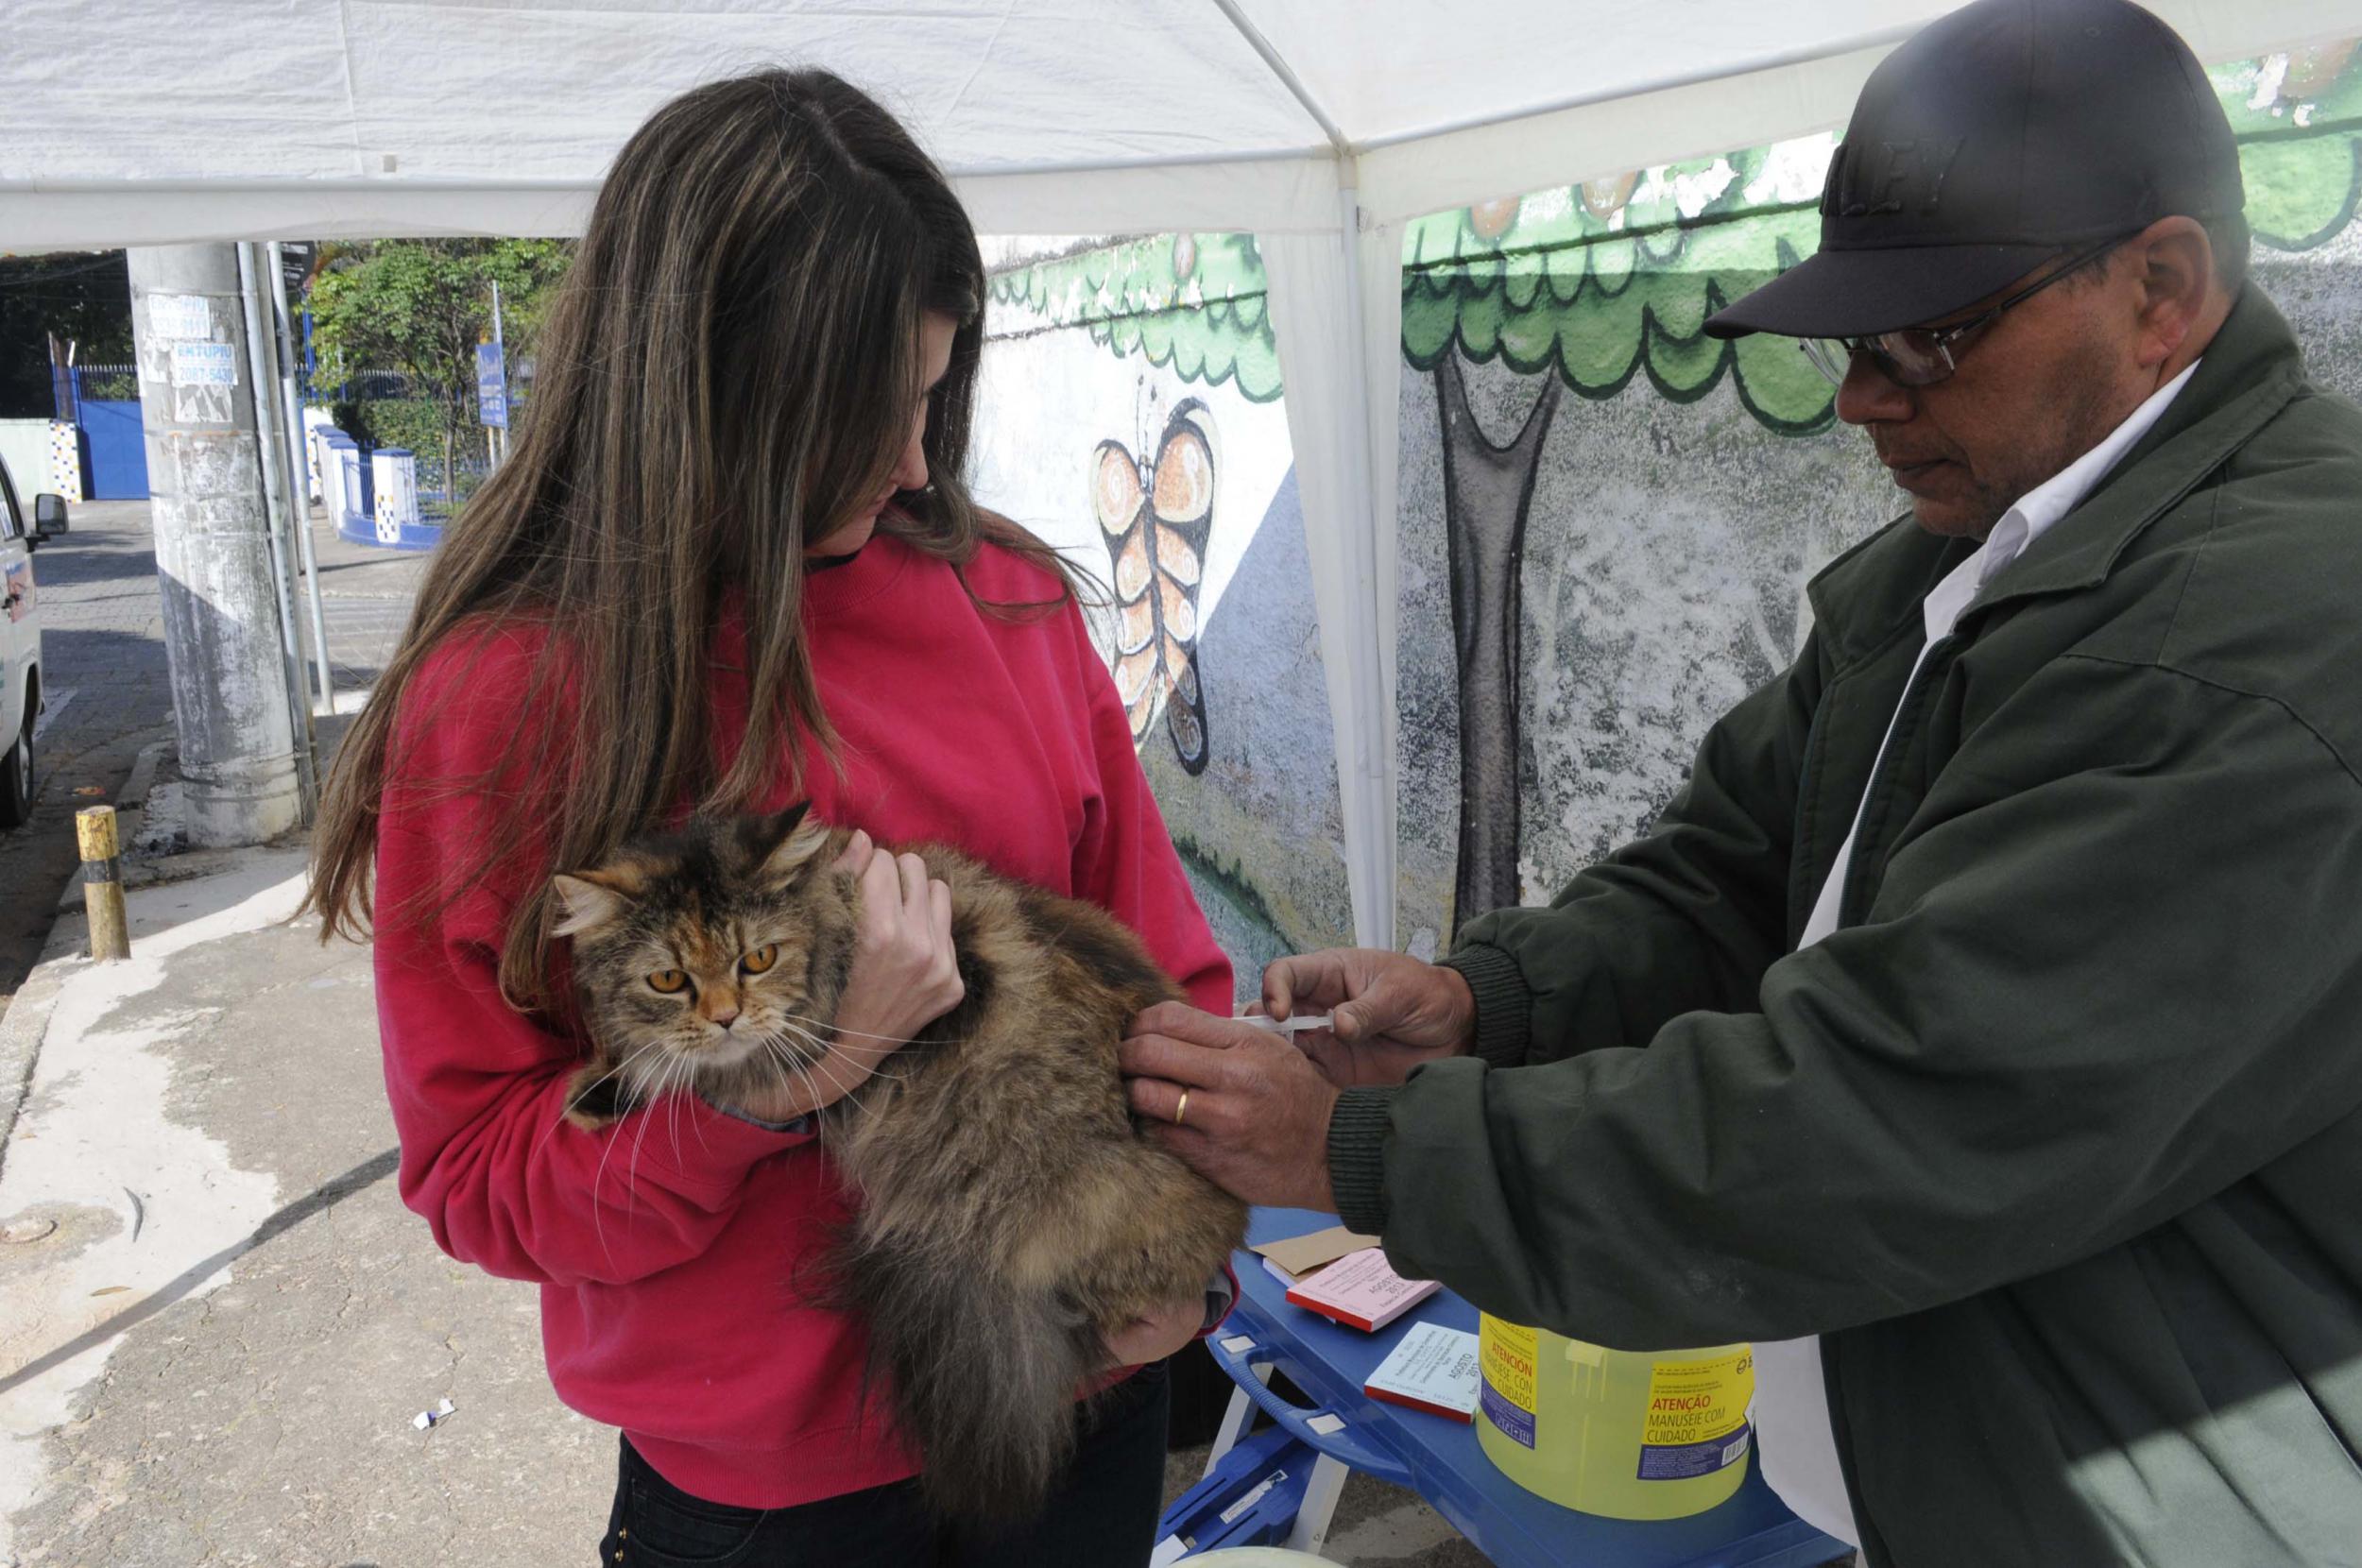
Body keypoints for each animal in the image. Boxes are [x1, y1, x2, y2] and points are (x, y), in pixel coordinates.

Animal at [545, 803, 1247, 1511]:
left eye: (758, 959)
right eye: (668, 979)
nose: (724, 1018)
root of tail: (1231, 1220)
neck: (833, 908)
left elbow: (708, 1075)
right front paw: (599, 1089)